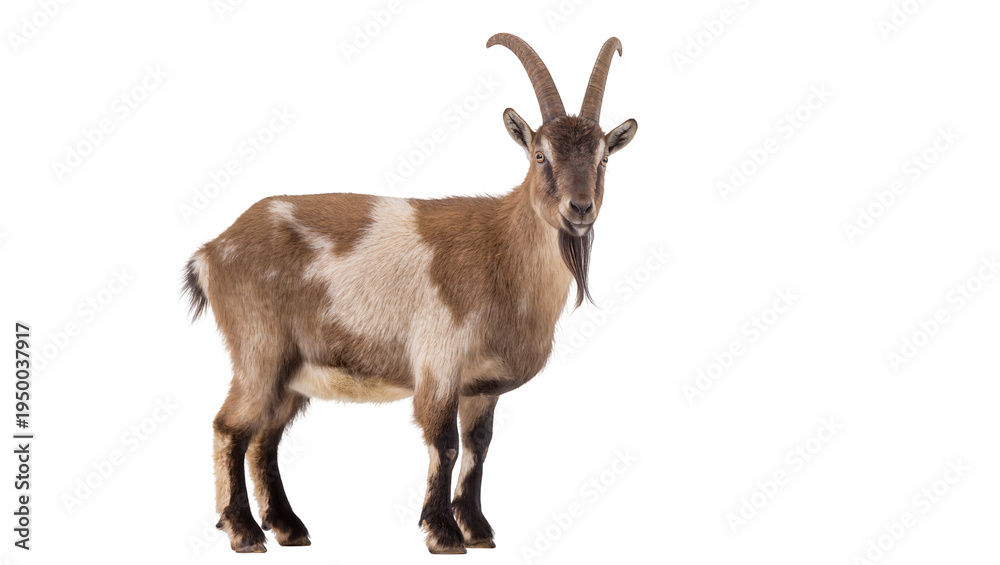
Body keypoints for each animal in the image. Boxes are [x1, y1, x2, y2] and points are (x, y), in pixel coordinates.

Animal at [182, 33, 637, 554]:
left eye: (604, 157)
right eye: (540, 155)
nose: (579, 208)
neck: (502, 251)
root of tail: (213, 250)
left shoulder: (481, 386)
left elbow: (479, 445)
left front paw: (477, 529)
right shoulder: (438, 365)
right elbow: (445, 444)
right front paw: (443, 534)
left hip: (291, 373)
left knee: (265, 438)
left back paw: (288, 528)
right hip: (259, 351)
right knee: (230, 427)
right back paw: (243, 531)